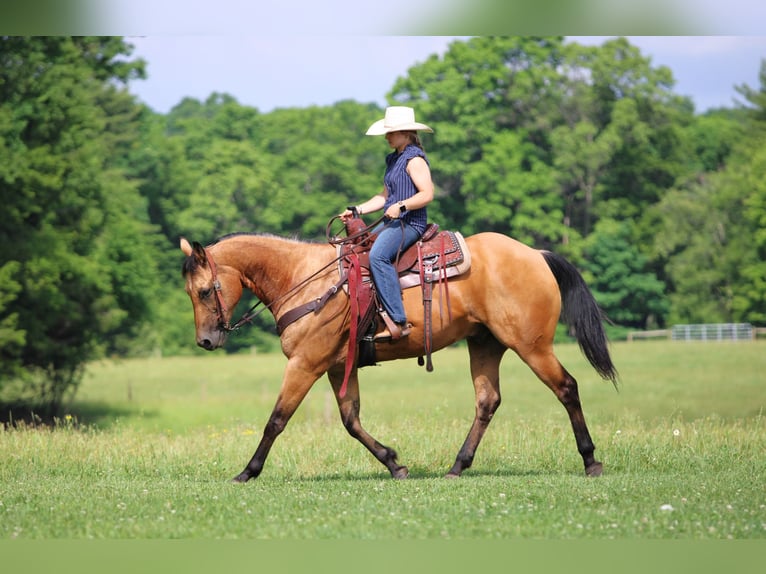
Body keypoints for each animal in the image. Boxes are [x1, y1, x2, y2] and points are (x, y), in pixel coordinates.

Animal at [180, 229, 617, 483]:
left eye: (203, 291)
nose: (205, 341)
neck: (306, 280)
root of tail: (535, 253)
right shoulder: (337, 367)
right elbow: (351, 421)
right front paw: (394, 463)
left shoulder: (305, 364)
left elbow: (276, 420)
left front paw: (247, 472)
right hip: (485, 344)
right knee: (487, 401)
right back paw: (457, 466)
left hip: (532, 346)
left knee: (567, 387)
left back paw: (590, 461)